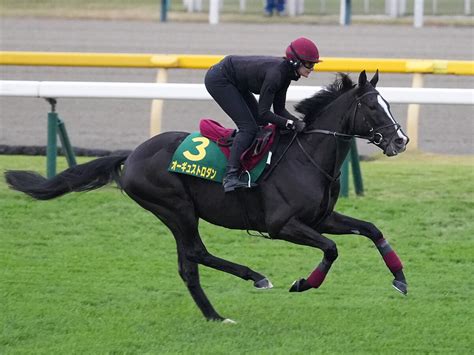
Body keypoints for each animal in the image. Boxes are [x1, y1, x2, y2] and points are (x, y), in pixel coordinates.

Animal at [5, 71, 410, 324]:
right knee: (195, 253)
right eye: (372, 106)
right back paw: (255, 277)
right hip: (176, 208)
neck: (306, 155)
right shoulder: (282, 225)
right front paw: (303, 283)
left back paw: (216, 315)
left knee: (188, 265)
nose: (401, 140)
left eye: (388, 103)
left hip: (176, 212)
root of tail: (132, 154)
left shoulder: (320, 218)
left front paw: (401, 279)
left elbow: (372, 230)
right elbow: (331, 249)